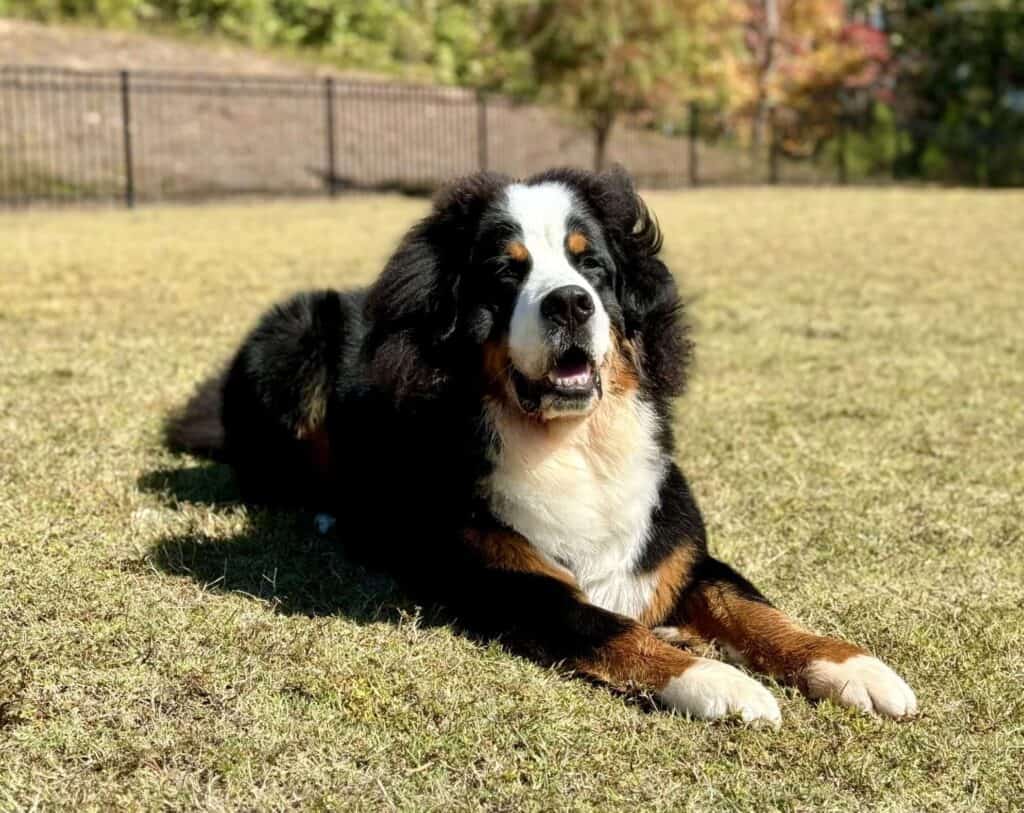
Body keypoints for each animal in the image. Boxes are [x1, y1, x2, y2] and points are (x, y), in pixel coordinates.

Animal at [167, 165, 921, 720]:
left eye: (594, 269)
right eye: (508, 271)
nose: (569, 303)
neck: (574, 444)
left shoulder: (676, 546)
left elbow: (757, 608)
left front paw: (853, 665)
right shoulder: (514, 579)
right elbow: (608, 625)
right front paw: (719, 681)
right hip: (292, 341)